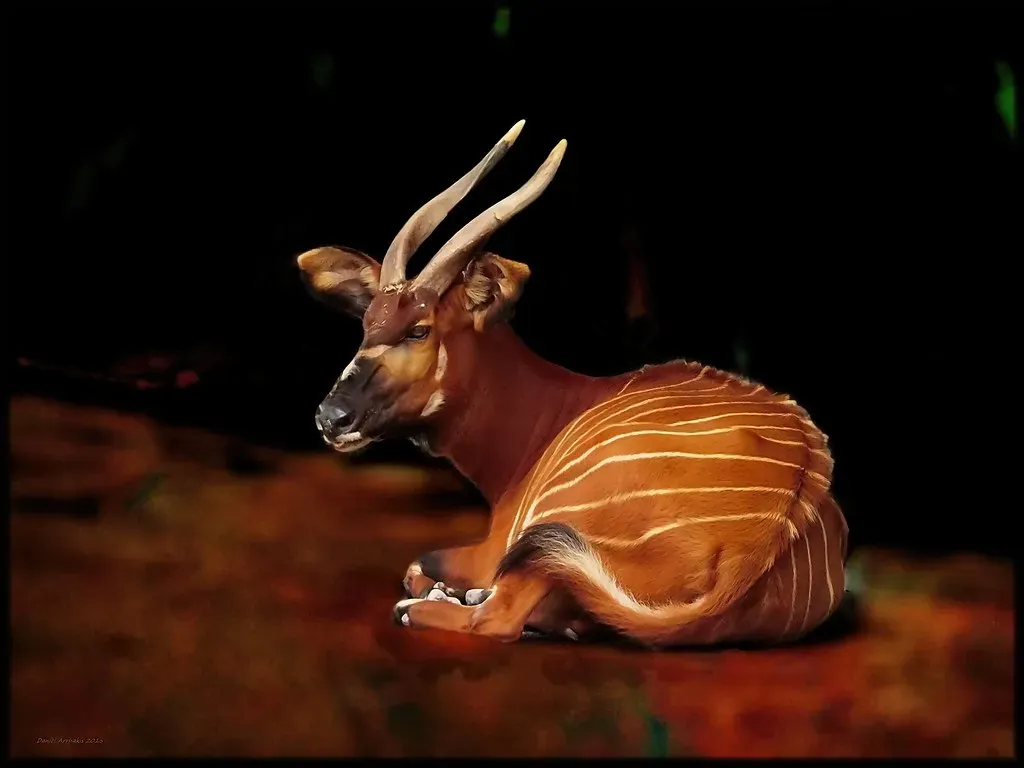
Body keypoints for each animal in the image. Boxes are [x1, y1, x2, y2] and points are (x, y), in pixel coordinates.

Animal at [296, 120, 848, 648]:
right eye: (367, 322)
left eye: (418, 328)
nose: (331, 417)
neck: (551, 413)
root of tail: (749, 555)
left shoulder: (497, 548)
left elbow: (419, 570)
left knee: (493, 616)